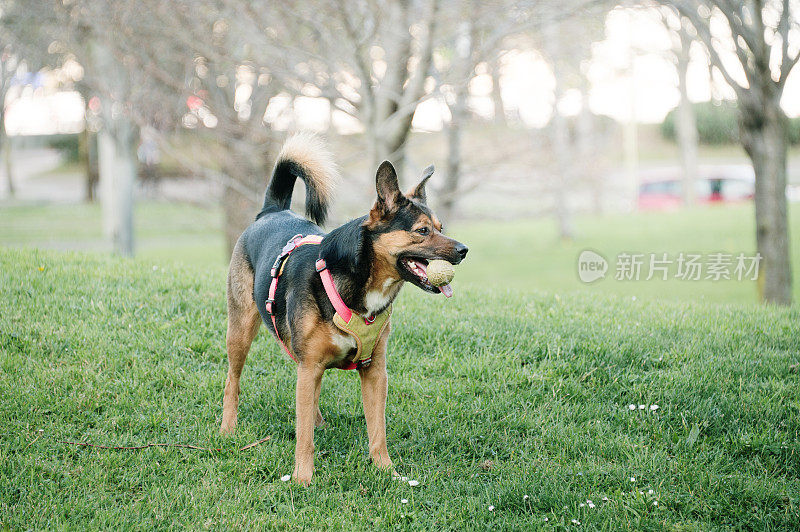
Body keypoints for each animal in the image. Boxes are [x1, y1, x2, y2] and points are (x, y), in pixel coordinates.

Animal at [220, 134, 468, 486]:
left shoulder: (375, 373)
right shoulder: (310, 365)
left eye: (440, 227)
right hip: (241, 331)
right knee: (233, 381)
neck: (360, 283)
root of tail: (272, 211)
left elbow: (377, 431)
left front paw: (387, 472)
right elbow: (303, 437)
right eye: (422, 231)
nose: (464, 250)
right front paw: (303, 478)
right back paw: (228, 428)